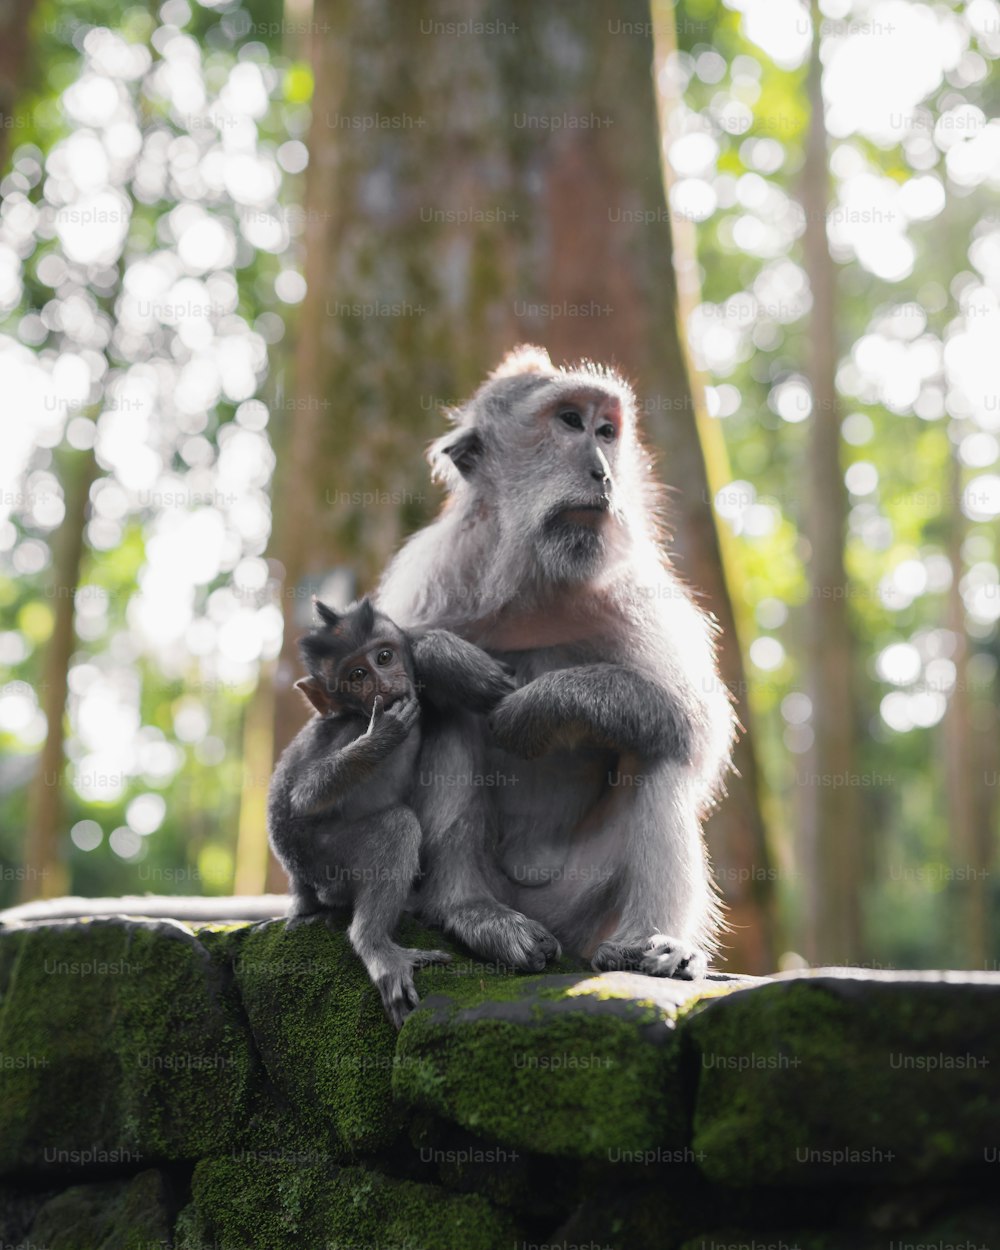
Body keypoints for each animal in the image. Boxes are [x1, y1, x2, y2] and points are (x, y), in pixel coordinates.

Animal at [265, 595, 512, 1025]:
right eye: (357, 675)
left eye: (384, 656)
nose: (380, 682)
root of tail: (301, 882)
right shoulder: (348, 727)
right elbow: (304, 796)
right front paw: (383, 736)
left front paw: (439, 652)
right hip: (325, 864)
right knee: (395, 827)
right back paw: (375, 945)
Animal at [375, 347, 735, 980]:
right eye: (569, 421)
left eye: (606, 431)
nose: (603, 473)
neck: (536, 577)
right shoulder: (437, 569)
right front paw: (450, 659)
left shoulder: (636, 591)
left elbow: (700, 726)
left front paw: (546, 702)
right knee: (450, 716)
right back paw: (473, 913)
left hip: (581, 898)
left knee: (661, 744)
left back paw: (653, 944)